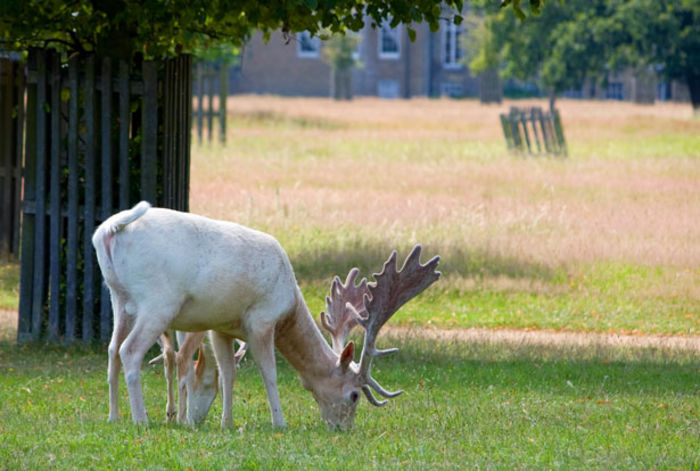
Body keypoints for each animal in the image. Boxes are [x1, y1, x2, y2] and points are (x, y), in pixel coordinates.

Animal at [93, 203, 438, 432]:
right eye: (354, 396)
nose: (344, 428)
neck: (289, 306)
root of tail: (109, 231)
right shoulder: (261, 319)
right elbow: (268, 373)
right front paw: (279, 421)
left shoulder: (221, 326)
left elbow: (228, 372)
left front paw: (226, 422)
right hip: (158, 301)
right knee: (129, 351)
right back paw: (140, 420)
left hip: (119, 299)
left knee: (111, 350)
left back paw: (113, 416)